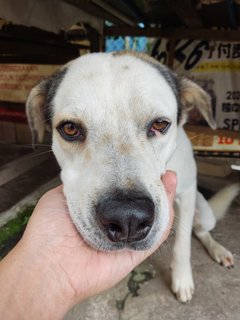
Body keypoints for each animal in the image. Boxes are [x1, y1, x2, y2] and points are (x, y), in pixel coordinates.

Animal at [25, 52, 239, 302]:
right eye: (69, 128)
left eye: (160, 124)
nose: (128, 218)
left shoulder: (187, 193)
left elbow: (183, 243)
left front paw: (182, 279)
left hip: (204, 212)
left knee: (199, 230)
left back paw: (218, 250)